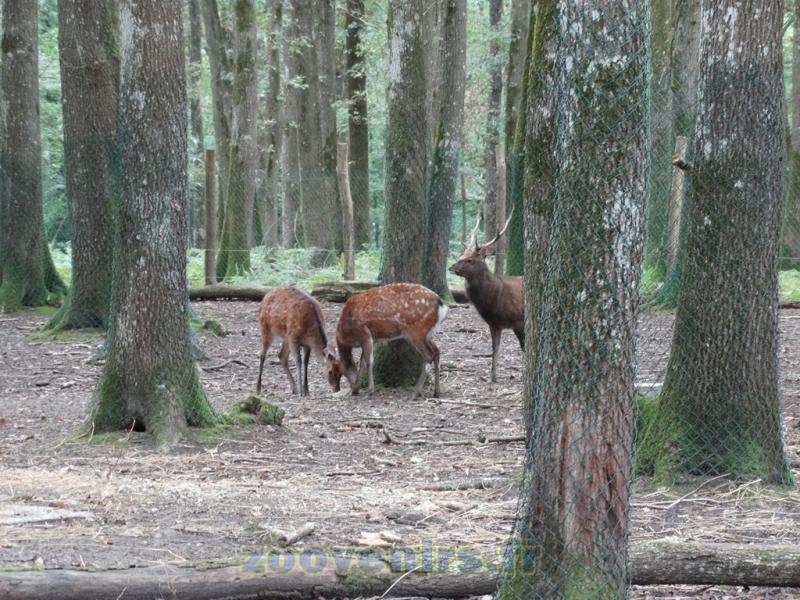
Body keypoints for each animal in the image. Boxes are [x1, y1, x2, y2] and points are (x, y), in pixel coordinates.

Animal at [449, 211, 523, 383]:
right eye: (461, 254)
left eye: (470, 259)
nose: (451, 267)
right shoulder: (494, 323)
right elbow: (495, 349)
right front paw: (493, 377)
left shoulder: (519, 321)